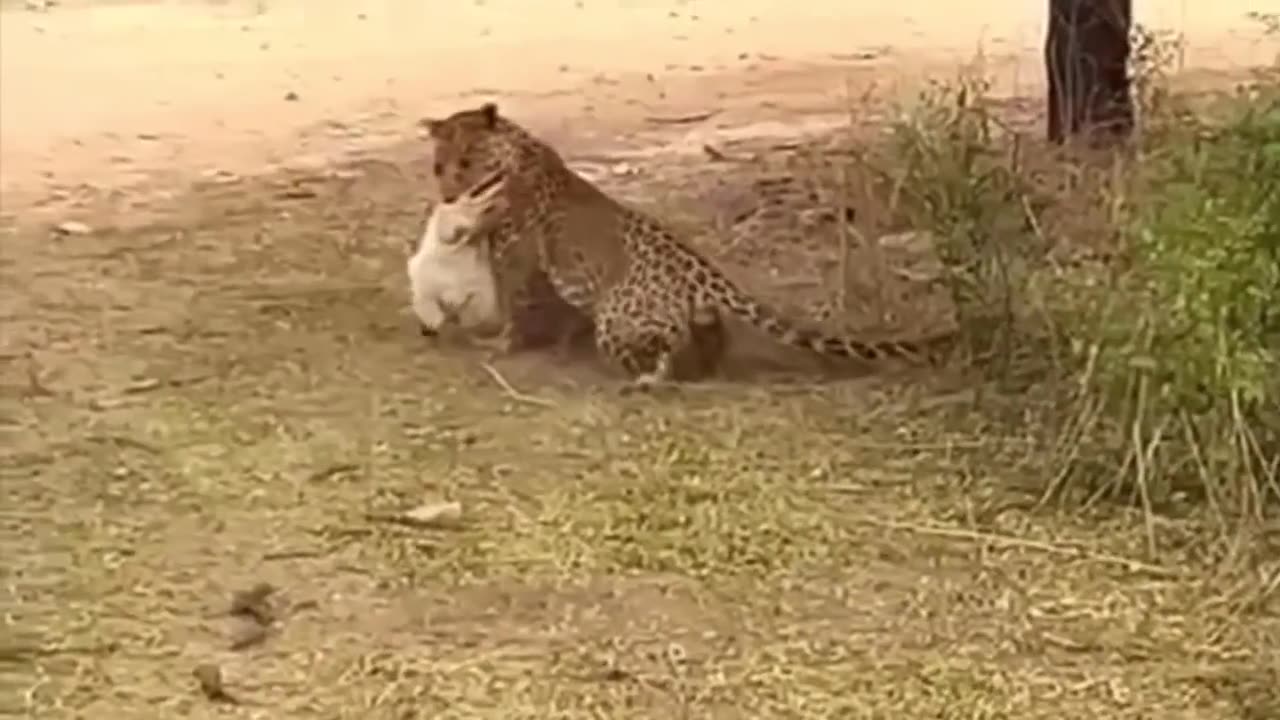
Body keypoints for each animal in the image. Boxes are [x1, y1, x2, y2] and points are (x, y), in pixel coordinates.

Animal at [419, 101, 952, 386]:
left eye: (466, 160)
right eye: (439, 164)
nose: (446, 193)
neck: (515, 153)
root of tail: (698, 267)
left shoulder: (514, 256)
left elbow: (514, 305)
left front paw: (501, 343)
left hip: (618, 317)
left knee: (664, 346)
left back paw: (648, 379)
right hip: (688, 314)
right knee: (707, 337)